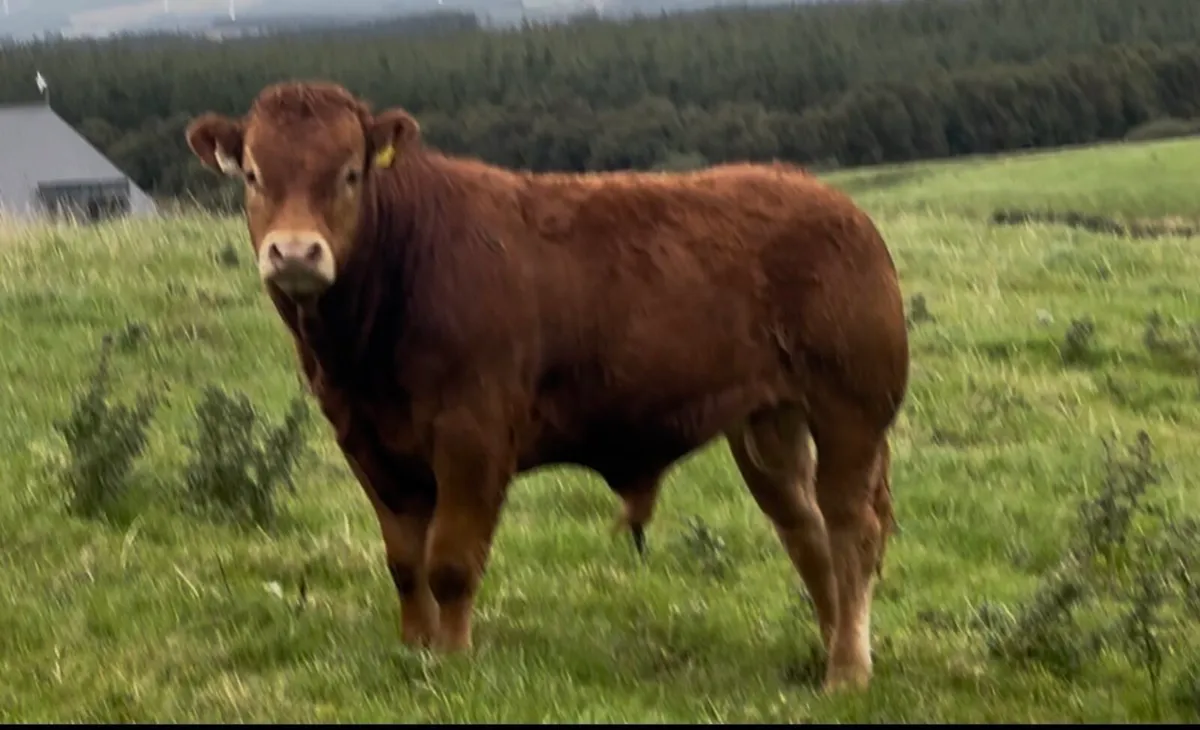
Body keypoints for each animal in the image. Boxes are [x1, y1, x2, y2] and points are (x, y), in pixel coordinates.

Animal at [184, 80, 909, 692]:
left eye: (350, 174)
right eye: (253, 175)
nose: (295, 253)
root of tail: (834, 204)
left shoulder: (472, 437)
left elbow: (450, 561)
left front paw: (453, 659)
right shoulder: (368, 443)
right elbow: (405, 563)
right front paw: (415, 650)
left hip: (848, 415)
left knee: (851, 531)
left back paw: (848, 671)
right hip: (768, 425)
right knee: (806, 531)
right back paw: (830, 647)